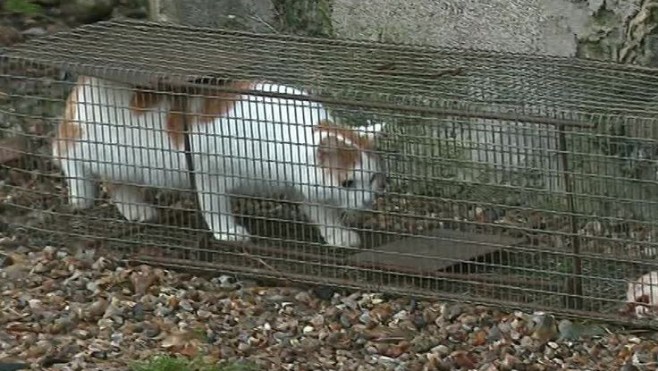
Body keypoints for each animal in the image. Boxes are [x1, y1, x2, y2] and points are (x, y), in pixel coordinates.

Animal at [52, 76, 390, 248]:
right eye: (348, 182)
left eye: (372, 178)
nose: (368, 201)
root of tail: (83, 82)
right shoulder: (209, 174)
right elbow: (216, 208)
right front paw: (228, 233)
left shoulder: (300, 186)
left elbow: (323, 213)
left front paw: (338, 235)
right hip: (88, 145)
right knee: (63, 150)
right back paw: (81, 196)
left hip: (124, 162)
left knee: (118, 185)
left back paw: (139, 211)